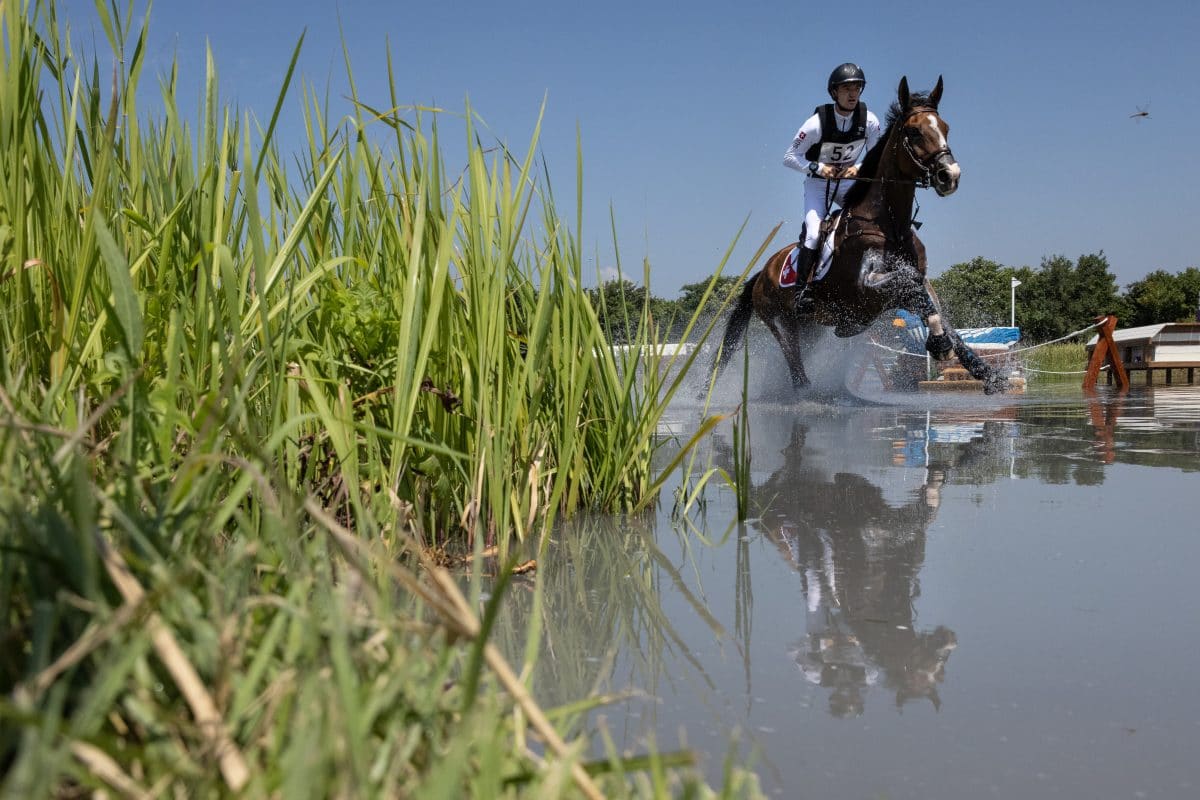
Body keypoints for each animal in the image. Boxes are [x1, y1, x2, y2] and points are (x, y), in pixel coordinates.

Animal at [705, 76, 1008, 395]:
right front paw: (939, 344)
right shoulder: (867, 285)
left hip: (812, 327)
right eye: (914, 131)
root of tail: (763, 271)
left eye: (945, 128)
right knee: (792, 359)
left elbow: (932, 306)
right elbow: (912, 283)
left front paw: (986, 373)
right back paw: (805, 391)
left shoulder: (911, 289)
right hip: (779, 320)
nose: (950, 175)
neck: (891, 225)